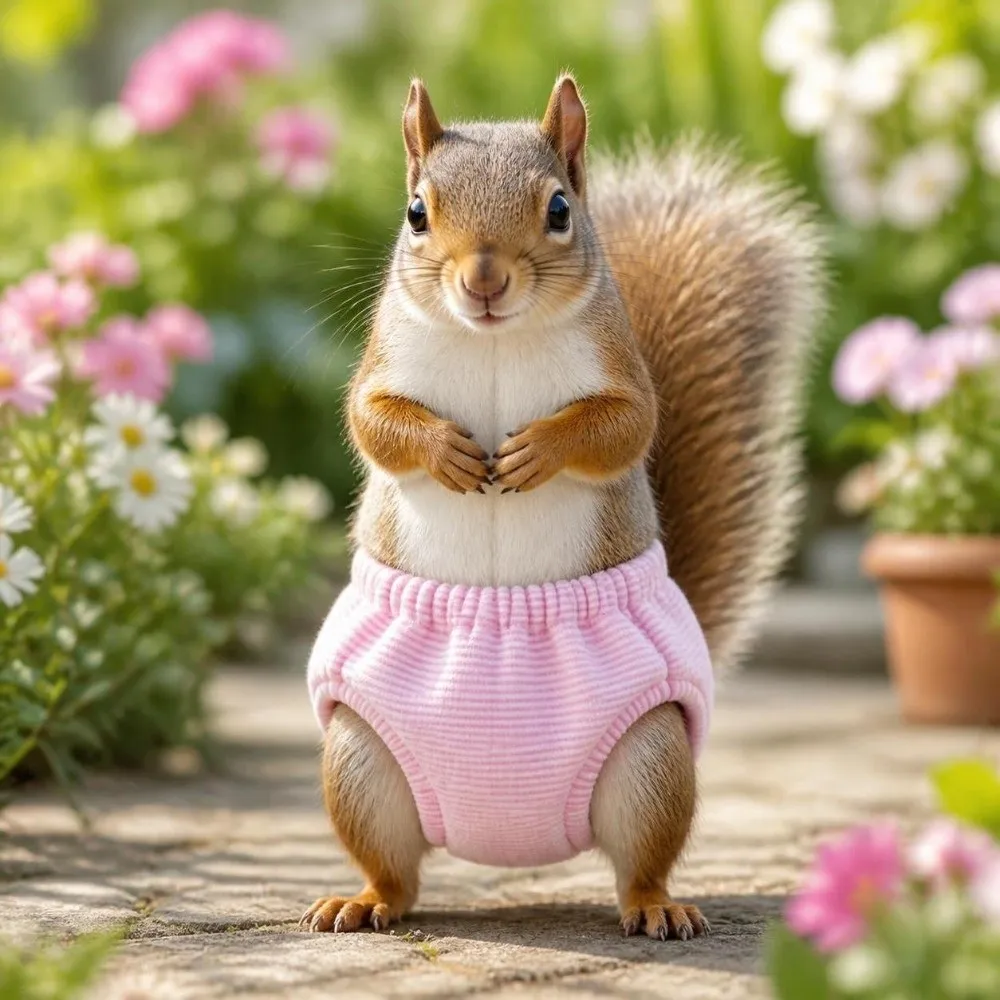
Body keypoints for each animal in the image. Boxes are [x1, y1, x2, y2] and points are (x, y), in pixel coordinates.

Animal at [301, 75, 825, 941]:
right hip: (359, 759)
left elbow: (622, 428)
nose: (484, 281)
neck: (493, 341)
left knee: (639, 862)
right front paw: (445, 451)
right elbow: (371, 422)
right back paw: (364, 899)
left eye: (558, 210)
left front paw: (538, 451)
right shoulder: (381, 366)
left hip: (652, 760)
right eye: (415, 212)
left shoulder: (622, 372)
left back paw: (656, 906)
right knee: (397, 871)